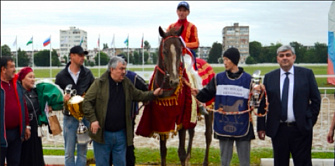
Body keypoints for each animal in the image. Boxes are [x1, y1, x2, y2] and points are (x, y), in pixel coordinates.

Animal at [136, 25, 215, 165]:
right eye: (165, 51)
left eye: (179, 50)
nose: (174, 81)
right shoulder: (161, 121)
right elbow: (163, 151)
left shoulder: (182, 119)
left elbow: (181, 153)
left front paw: (185, 157)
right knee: (192, 132)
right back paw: (190, 157)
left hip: (209, 109)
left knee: (208, 136)